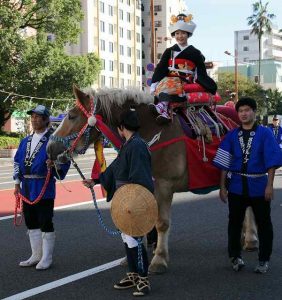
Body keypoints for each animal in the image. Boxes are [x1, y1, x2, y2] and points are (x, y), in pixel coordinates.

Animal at [46, 85, 258, 274]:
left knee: (248, 205)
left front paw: (159, 259)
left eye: (71, 116)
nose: (50, 148)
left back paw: (250, 239)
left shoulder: (163, 184)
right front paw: (133, 254)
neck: (150, 131)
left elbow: (161, 223)